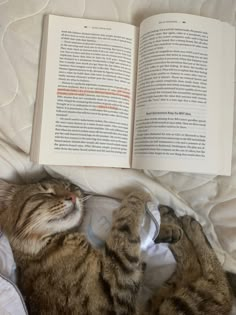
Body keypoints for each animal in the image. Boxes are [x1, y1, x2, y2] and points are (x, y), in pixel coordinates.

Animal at [0, 179, 233, 314]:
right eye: (45, 193)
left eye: (69, 188)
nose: (73, 196)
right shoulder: (120, 285)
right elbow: (125, 227)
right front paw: (137, 194)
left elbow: (140, 233)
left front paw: (166, 230)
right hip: (175, 306)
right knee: (218, 288)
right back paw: (188, 224)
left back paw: (174, 221)